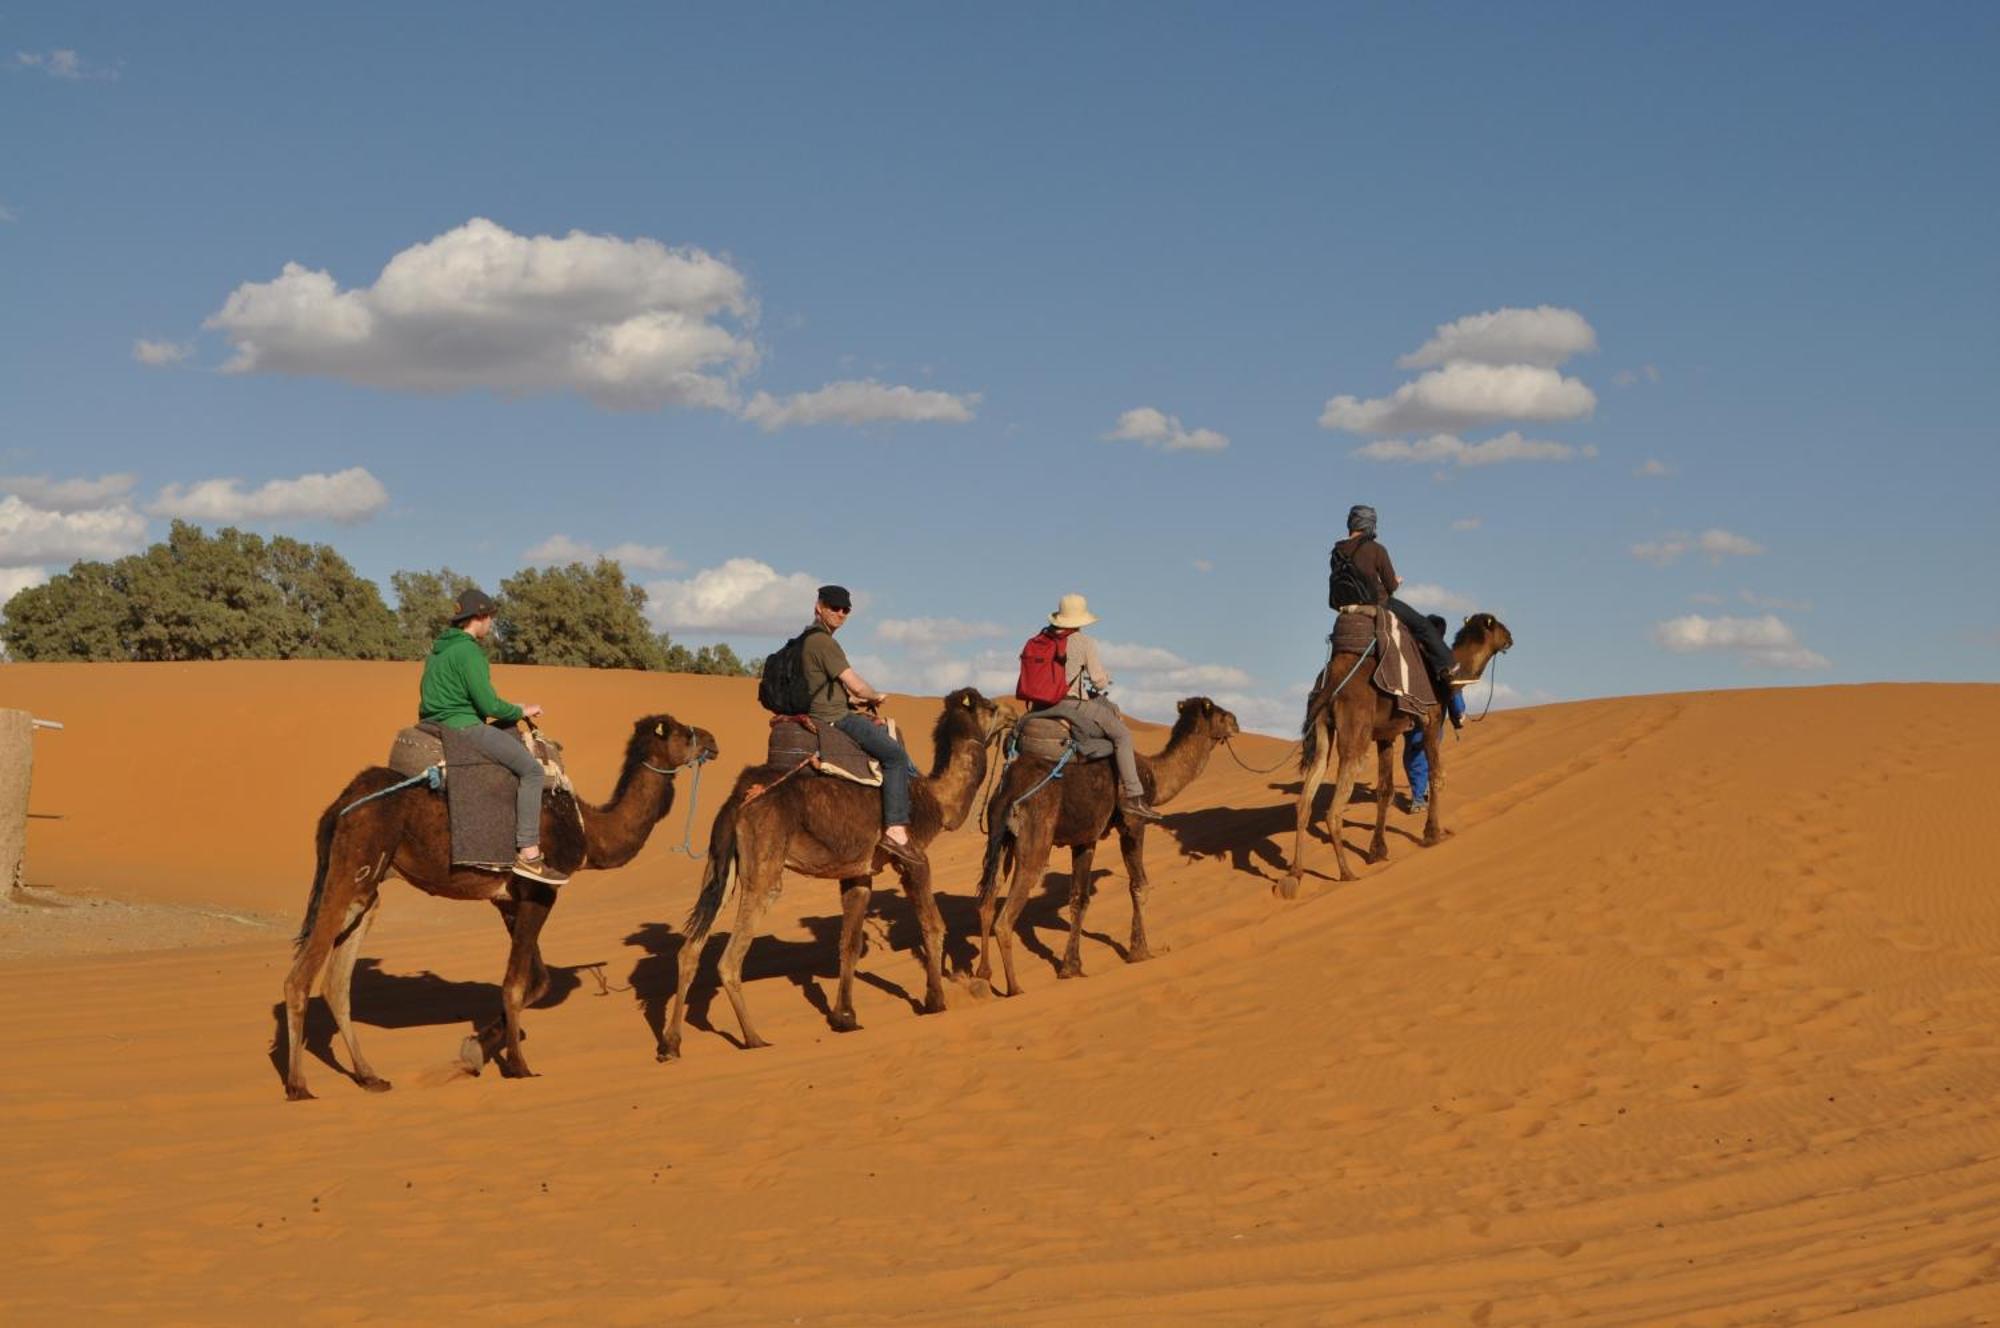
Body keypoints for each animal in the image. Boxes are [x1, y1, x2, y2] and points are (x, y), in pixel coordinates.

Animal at [280, 716, 720, 1096]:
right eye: (682, 731)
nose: (712, 740)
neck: (589, 830)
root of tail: (340, 804)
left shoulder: (511, 900)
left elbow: (537, 981)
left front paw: (477, 1048)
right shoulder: (542, 890)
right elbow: (515, 985)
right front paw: (520, 1065)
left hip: (367, 891)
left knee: (337, 983)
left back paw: (370, 1076)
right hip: (352, 867)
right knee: (300, 978)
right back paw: (299, 1086)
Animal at [668, 684, 1016, 1056]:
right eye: (990, 706)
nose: (1013, 713)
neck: (935, 800)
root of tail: (737, 799)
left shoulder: (858, 872)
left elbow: (849, 944)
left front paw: (844, 1017)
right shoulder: (913, 858)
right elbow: (933, 926)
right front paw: (935, 1000)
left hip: (720, 867)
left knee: (690, 947)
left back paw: (671, 1043)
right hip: (764, 863)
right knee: (730, 958)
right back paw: (754, 1038)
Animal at [976, 696, 1240, 996]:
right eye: (1218, 712)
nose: (1236, 722)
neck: (1153, 775)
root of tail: (1009, 791)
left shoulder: (1085, 838)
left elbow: (1079, 899)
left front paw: (1072, 968)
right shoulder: (1133, 822)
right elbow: (1139, 886)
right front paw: (1140, 952)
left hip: (1000, 836)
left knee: (987, 899)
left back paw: (984, 974)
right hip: (1035, 835)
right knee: (1006, 916)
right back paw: (1015, 988)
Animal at [1280, 612, 1512, 892]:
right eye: (1498, 626)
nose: (1511, 638)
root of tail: (1331, 683)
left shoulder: (1386, 734)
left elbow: (1385, 790)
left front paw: (1377, 851)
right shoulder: (1432, 719)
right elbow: (1436, 775)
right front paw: (1432, 834)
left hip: (1323, 728)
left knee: (1305, 799)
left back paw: (1296, 872)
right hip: (1356, 734)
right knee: (1334, 810)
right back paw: (1347, 873)